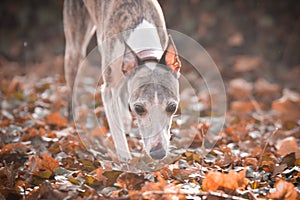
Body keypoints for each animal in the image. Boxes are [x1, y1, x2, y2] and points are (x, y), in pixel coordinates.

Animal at [63, 0, 180, 162]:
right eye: (138, 108)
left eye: (172, 107)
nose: (158, 153)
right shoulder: (107, 89)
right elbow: (115, 126)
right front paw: (125, 159)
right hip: (75, 47)